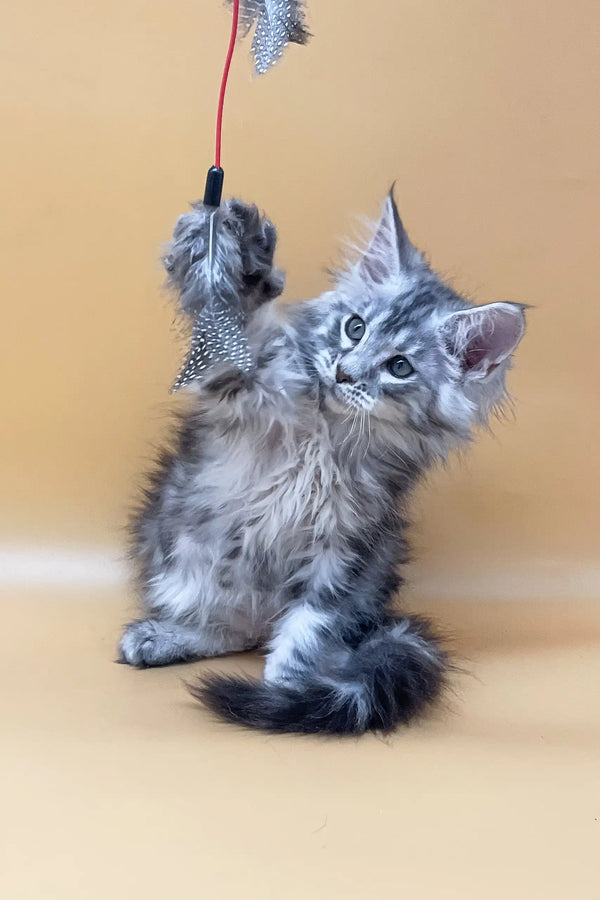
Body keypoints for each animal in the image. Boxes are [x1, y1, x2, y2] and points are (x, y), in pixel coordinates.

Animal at [120, 193, 524, 736]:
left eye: (399, 367)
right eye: (355, 328)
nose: (343, 372)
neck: (331, 431)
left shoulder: (346, 545)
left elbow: (309, 628)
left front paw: (287, 694)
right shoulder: (241, 378)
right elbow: (235, 329)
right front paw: (236, 246)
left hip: (374, 571)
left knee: (257, 633)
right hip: (187, 560)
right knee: (228, 626)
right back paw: (164, 637)